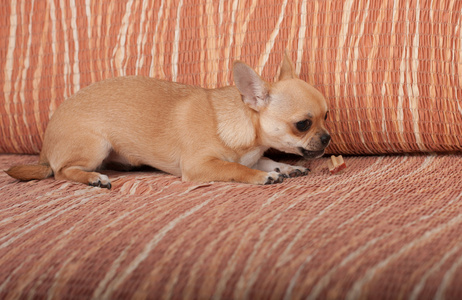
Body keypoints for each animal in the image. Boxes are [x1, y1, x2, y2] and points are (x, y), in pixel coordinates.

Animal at [5, 53, 328, 188]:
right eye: (303, 124)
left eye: (327, 116)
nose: (327, 137)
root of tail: (44, 149)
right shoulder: (200, 165)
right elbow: (236, 168)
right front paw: (263, 177)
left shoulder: (254, 155)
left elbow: (264, 161)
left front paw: (286, 167)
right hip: (95, 145)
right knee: (61, 172)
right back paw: (93, 178)